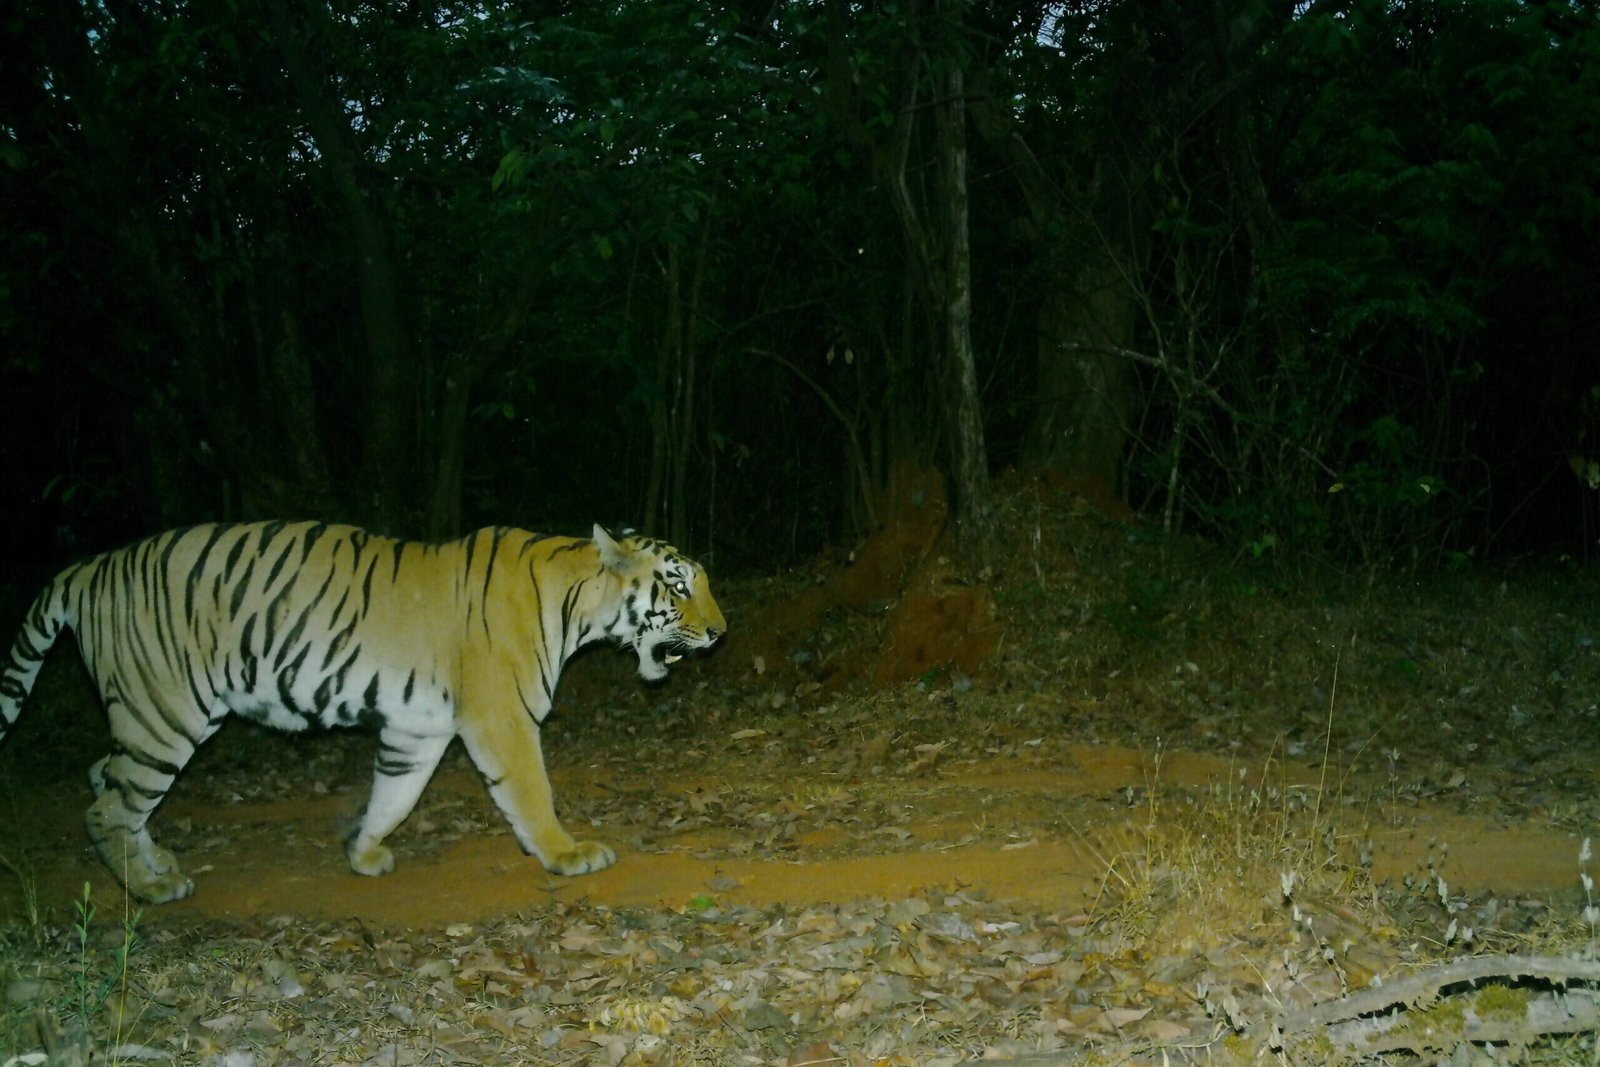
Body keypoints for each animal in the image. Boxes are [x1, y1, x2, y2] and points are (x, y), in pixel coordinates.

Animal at [0, 521, 725, 903]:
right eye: (678, 584)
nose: (721, 631)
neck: (578, 603)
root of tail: (90, 567)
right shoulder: (502, 718)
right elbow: (531, 792)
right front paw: (566, 853)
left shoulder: (417, 728)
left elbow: (393, 795)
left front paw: (364, 851)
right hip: (164, 713)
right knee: (107, 805)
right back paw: (149, 889)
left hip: (158, 714)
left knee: (105, 780)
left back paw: (157, 869)